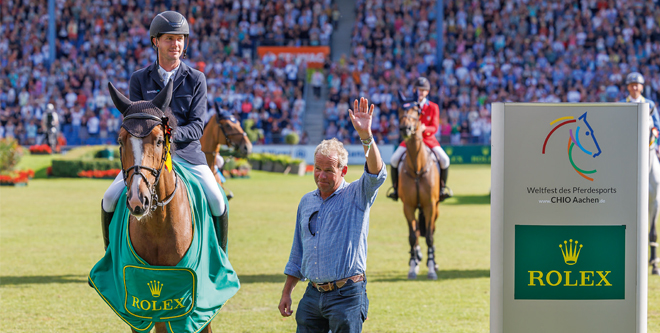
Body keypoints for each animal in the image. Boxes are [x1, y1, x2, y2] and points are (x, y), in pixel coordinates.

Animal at [89, 81, 240, 332]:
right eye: (120, 141)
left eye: (160, 140)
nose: (138, 201)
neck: (158, 224)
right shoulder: (137, 302)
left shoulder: (189, 301)